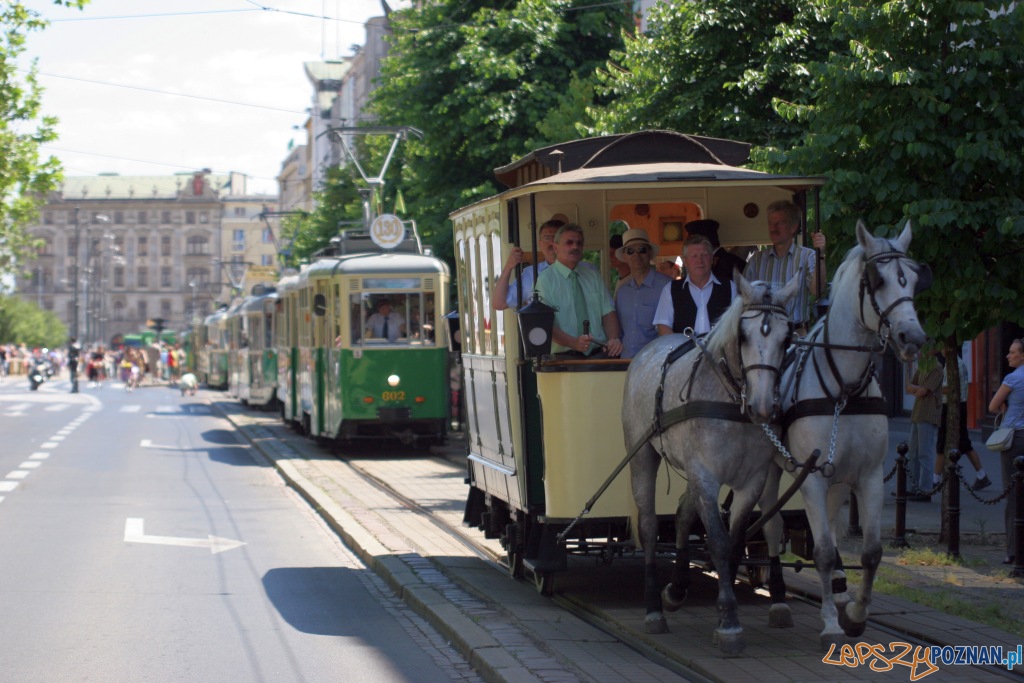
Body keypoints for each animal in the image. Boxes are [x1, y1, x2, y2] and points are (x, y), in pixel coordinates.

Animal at [618, 274, 802, 655]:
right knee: (648, 526)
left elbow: (733, 541)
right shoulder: (706, 475)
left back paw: (676, 589)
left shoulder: (751, 481)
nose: (764, 406)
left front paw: (723, 606)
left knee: (683, 513)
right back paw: (654, 608)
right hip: (642, 455)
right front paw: (729, 621)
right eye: (743, 336)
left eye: (787, 336)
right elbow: (717, 540)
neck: (732, 400)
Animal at [757, 220, 933, 651]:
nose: (913, 338)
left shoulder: (868, 477)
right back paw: (779, 599)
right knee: (770, 526)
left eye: (914, 278)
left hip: (837, 479)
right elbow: (820, 550)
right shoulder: (811, 478)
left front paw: (854, 615)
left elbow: (870, 553)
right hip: (773, 472)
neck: (844, 389)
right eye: (877, 280)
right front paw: (831, 625)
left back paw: (837, 589)